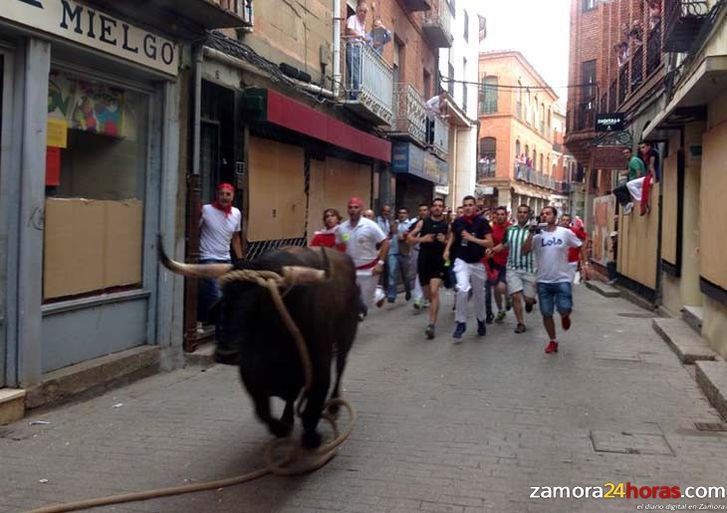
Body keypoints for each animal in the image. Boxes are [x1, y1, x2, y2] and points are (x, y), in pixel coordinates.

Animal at [161, 244, 362, 448]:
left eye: (262, 300)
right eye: (224, 298)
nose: (226, 353)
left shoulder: (319, 368)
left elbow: (312, 409)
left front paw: (311, 438)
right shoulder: (251, 375)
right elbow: (263, 412)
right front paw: (282, 427)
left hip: (346, 336)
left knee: (340, 367)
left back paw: (334, 406)